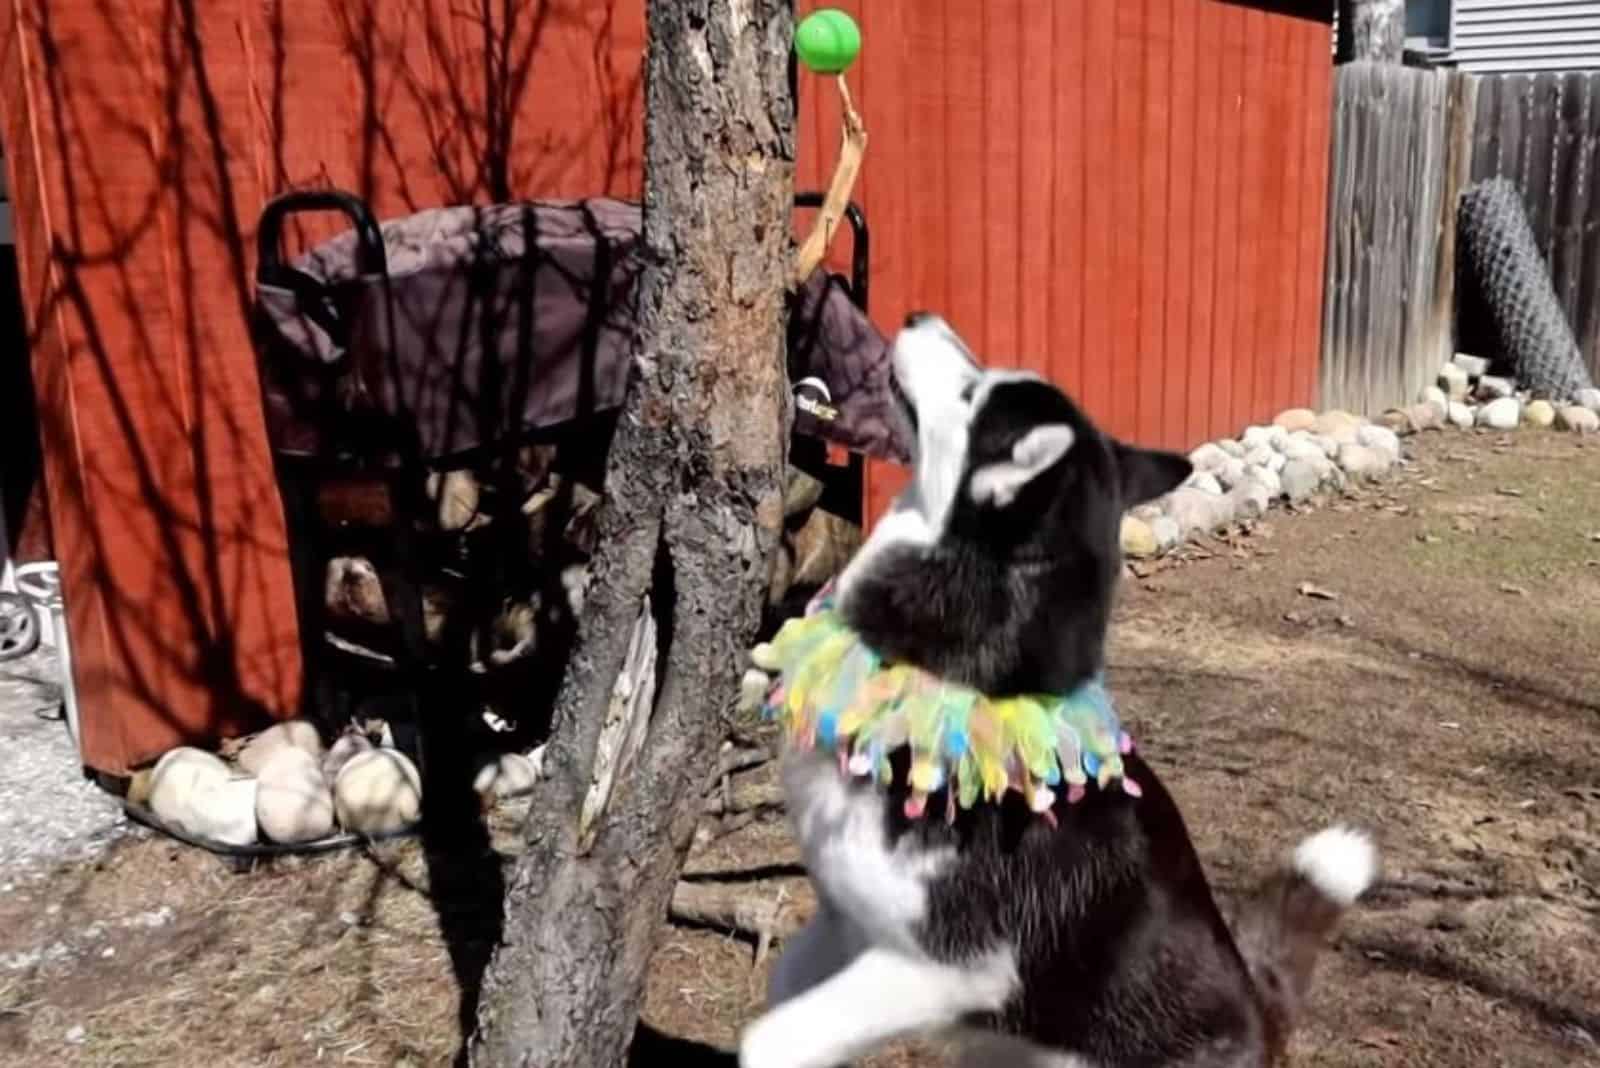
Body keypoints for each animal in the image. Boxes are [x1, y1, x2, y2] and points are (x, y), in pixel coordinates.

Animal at [736, 313, 1376, 1068]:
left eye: (971, 394)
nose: (921, 318)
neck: (949, 677)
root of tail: (1259, 1013)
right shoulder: (846, 924)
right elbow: (782, 988)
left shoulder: (946, 969)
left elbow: (769, 1037)